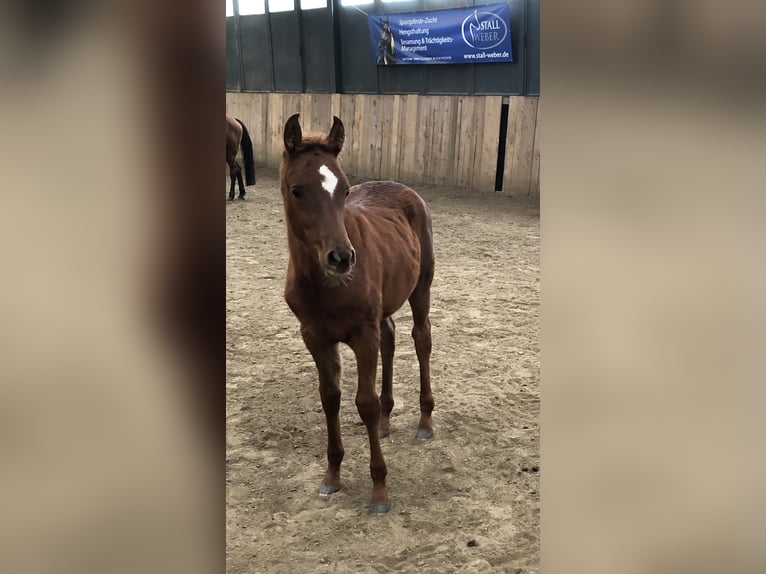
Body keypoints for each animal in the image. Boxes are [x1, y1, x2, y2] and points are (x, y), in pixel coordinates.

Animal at [282, 115, 438, 516]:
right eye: (297, 190)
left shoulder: (362, 334)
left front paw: (379, 489)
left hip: (421, 288)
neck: (324, 284)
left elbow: (363, 403)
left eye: (345, 190)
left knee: (421, 339)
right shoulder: (315, 337)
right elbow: (330, 398)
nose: (341, 258)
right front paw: (332, 475)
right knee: (391, 337)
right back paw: (386, 420)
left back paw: (425, 420)